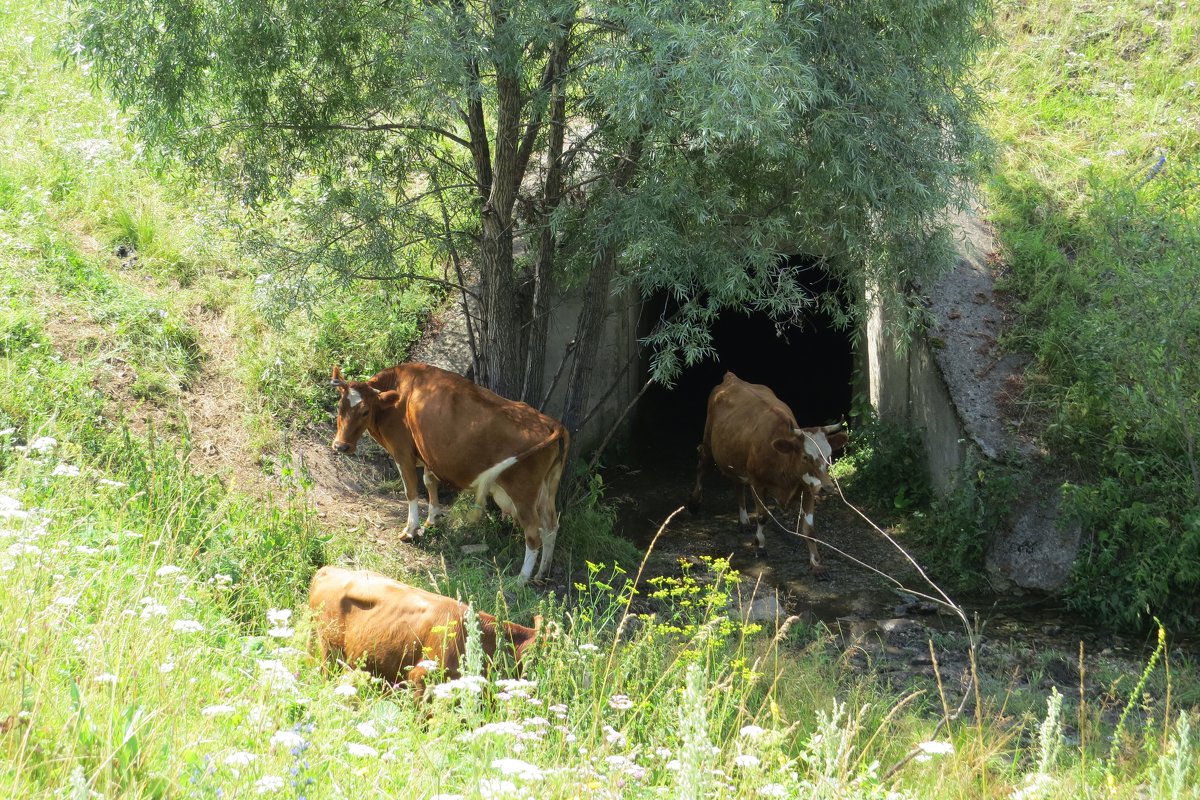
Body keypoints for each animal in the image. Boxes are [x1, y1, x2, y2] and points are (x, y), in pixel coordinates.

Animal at [331, 362, 568, 582]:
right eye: (339, 407)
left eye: (365, 411)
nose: (341, 446)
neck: (398, 392)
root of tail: (552, 423)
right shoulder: (427, 452)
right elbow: (429, 481)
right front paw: (433, 518)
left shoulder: (402, 452)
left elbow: (411, 491)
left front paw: (410, 531)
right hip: (548, 488)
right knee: (551, 527)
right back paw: (541, 573)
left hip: (523, 493)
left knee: (533, 535)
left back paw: (521, 580)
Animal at [691, 371, 849, 573]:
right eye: (805, 456)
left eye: (829, 455)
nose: (827, 488)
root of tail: (731, 378)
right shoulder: (757, 483)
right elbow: (762, 516)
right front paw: (759, 546)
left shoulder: (808, 488)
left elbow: (809, 530)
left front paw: (816, 564)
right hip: (708, 441)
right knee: (702, 465)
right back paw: (694, 503)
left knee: (737, 484)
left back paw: (743, 521)